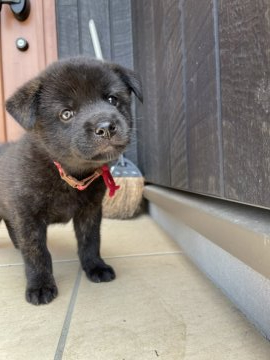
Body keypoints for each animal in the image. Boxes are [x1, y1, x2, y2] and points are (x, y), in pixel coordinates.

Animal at [0, 57, 142, 306]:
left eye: (112, 100)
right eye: (66, 114)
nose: (106, 127)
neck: (69, 174)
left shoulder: (90, 211)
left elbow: (90, 242)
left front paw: (95, 267)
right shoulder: (27, 216)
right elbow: (37, 253)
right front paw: (40, 285)